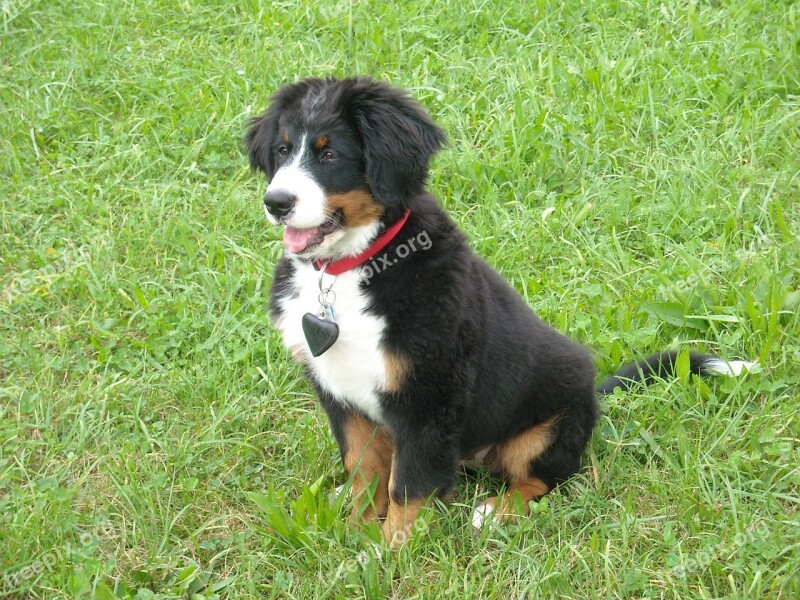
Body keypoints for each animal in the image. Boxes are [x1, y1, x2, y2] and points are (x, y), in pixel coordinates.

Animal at [242, 77, 752, 548]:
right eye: (282, 151)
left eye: (329, 154)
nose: (276, 203)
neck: (349, 268)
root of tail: (592, 391)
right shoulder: (341, 394)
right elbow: (364, 471)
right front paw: (355, 531)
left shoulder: (427, 397)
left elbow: (408, 485)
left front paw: (390, 551)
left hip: (546, 427)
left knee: (548, 477)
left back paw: (495, 511)